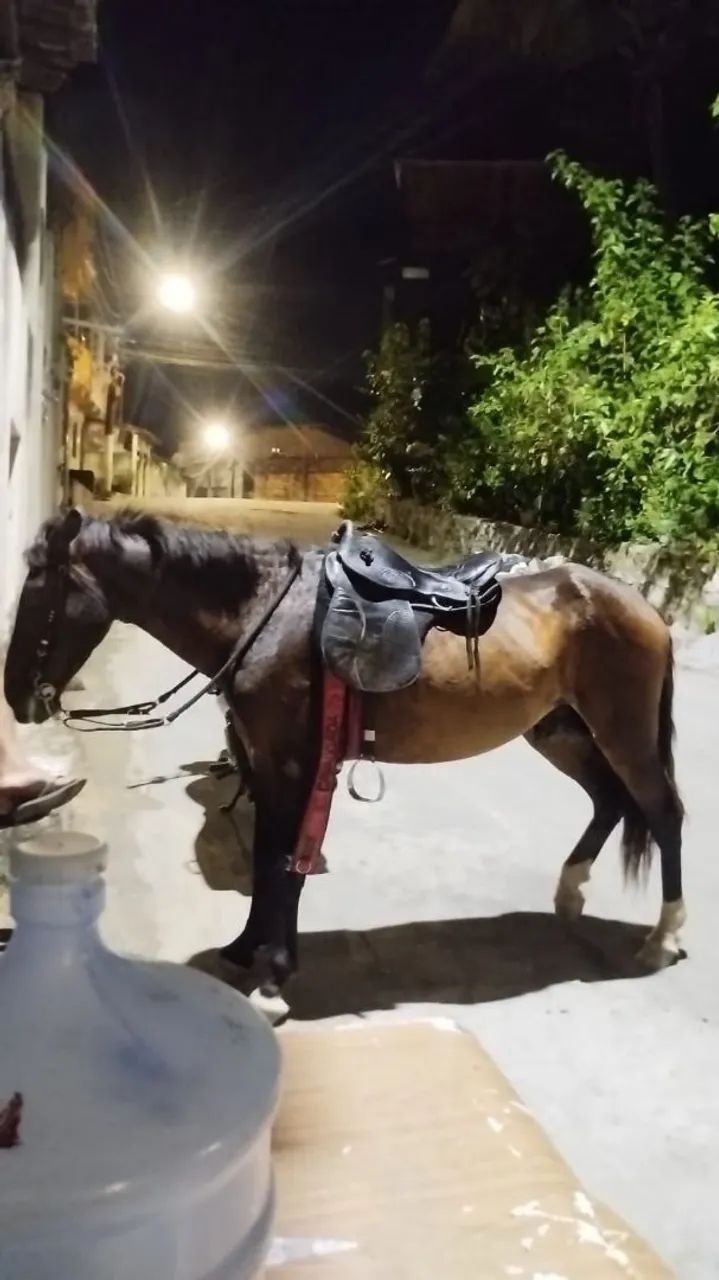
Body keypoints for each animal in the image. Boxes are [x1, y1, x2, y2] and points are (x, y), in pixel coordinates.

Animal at [3, 507, 686, 993]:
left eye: (39, 590)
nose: (15, 696)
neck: (265, 614)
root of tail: (645, 608)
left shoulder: (294, 762)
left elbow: (286, 862)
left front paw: (274, 976)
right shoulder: (268, 761)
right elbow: (268, 857)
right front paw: (247, 952)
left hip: (622, 731)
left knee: (662, 812)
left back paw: (661, 939)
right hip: (561, 731)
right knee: (609, 801)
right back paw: (570, 897)